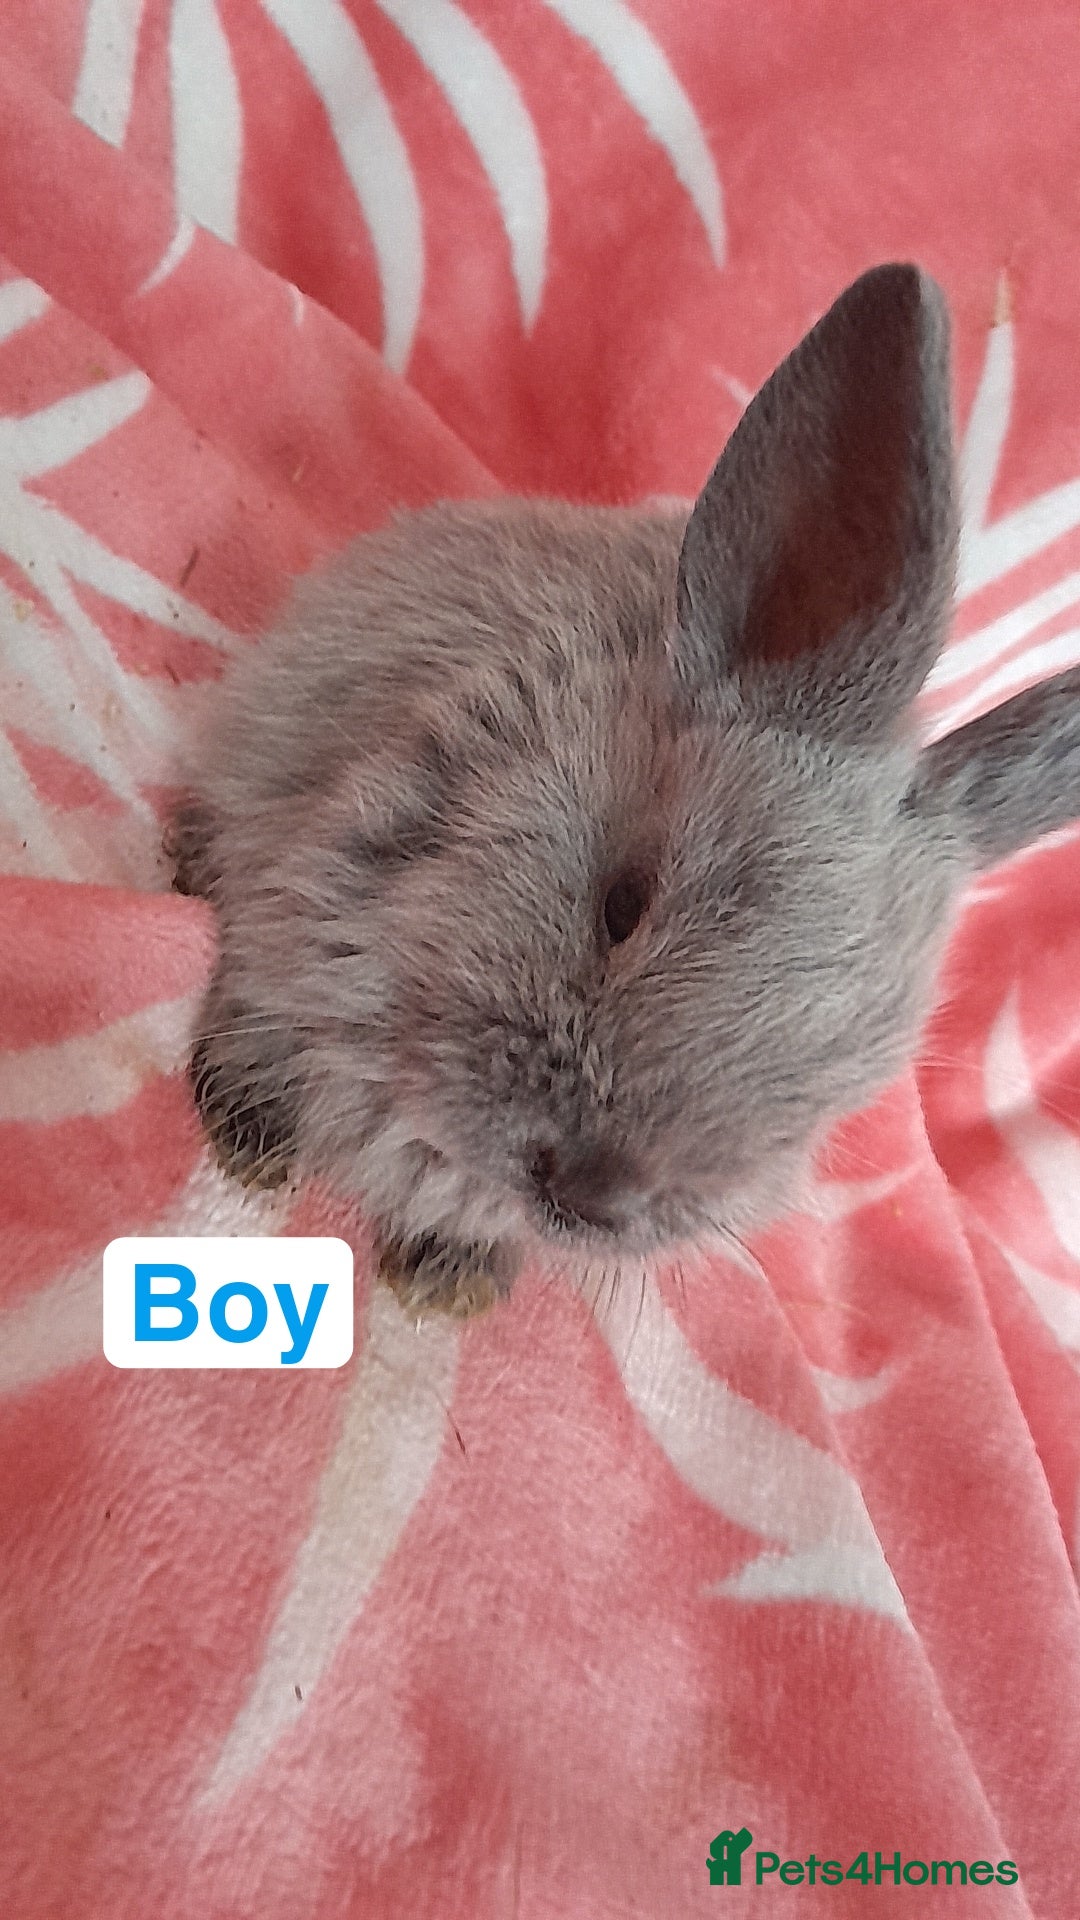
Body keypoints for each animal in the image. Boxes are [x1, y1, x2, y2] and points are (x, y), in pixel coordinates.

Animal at [169, 263, 1080, 1318]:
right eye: (622, 903)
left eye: (830, 1089)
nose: (592, 1191)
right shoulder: (288, 910)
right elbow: (262, 1021)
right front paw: (249, 1142)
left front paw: (447, 1286)